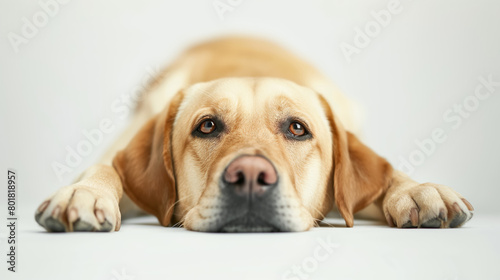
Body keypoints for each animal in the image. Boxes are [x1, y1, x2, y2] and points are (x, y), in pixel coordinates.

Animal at [34, 36, 472, 232]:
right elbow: (105, 167)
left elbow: (386, 174)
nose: (248, 177)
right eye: (207, 125)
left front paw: (416, 190)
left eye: (297, 128)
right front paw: (85, 193)